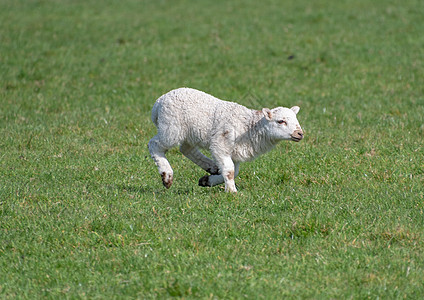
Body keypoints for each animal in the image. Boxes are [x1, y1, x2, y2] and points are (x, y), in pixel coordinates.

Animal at [147, 88, 304, 193]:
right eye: (281, 121)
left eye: (296, 121)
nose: (300, 133)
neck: (250, 127)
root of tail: (158, 103)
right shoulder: (220, 144)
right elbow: (229, 170)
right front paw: (232, 192)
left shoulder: (235, 151)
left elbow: (235, 171)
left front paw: (207, 181)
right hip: (171, 128)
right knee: (154, 145)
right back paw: (167, 176)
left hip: (188, 133)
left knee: (186, 149)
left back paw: (211, 167)